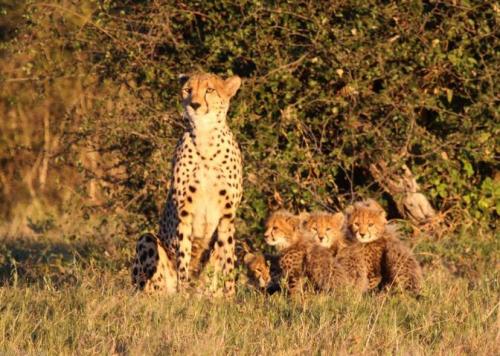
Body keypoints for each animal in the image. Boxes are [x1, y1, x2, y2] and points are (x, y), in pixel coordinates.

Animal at [156, 71, 242, 294]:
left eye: (209, 90)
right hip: (148, 239)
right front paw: (183, 294)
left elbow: (228, 261)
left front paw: (230, 296)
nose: (194, 105)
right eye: (188, 90)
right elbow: (183, 257)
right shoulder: (184, 212)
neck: (205, 138)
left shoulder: (227, 215)